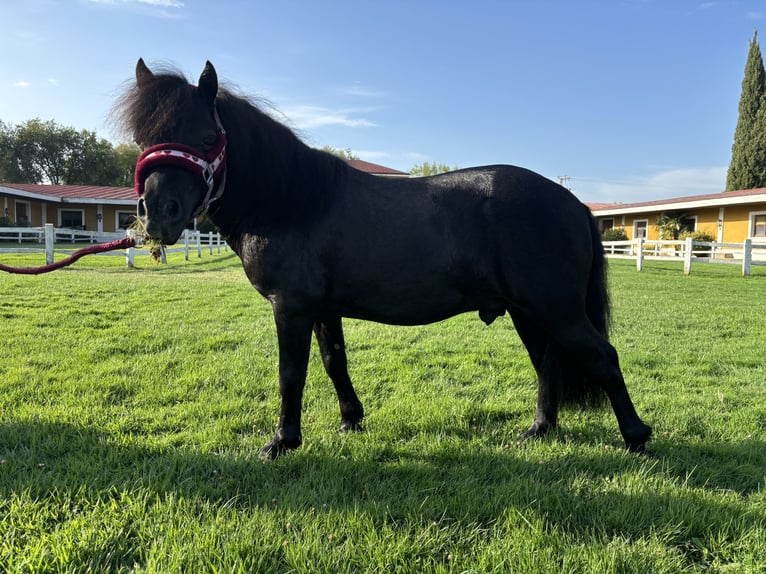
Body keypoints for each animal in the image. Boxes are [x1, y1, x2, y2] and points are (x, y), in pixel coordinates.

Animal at [118, 60, 656, 462]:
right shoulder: (322, 308)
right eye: (143, 137)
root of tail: (572, 202)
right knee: (547, 363)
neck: (292, 200)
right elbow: (334, 362)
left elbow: (291, 372)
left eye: (206, 135)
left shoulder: (291, 306)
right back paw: (539, 429)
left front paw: (282, 442)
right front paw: (350, 420)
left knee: (601, 358)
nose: (158, 213)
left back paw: (636, 436)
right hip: (528, 311)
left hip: (556, 309)